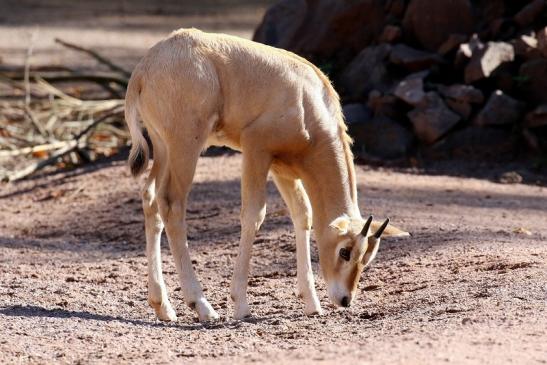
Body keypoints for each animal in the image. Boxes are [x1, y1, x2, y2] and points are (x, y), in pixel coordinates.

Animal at [123, 28, 406, 320]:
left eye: (368, 258)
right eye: (345, 251)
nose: (345, 299)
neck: (309, 100)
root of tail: (145, 68)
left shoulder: (283, 169)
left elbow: (303, 215)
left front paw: (311, 302)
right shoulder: (255, 148)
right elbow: (253, 215)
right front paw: (241, 305)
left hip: (163, 147)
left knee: (151, 199)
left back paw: (163, 306)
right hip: (186, 145)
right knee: (171, 204)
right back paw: (202, 306)